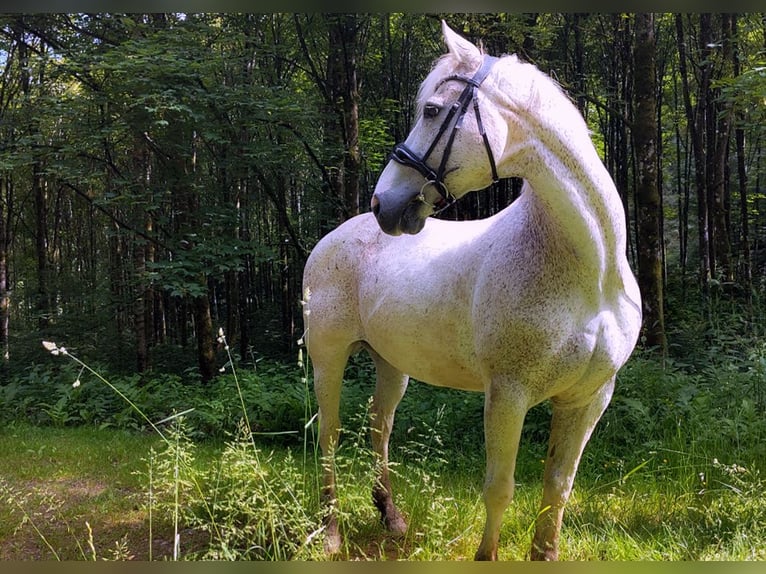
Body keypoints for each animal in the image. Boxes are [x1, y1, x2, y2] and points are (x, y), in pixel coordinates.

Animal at [302, 21, 641, 561]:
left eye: (432, 110)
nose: (383, 202)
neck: (593, 273)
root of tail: (332, 239)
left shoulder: (589, 397)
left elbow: (558, 488)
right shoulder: (508, 394)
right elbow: (499, 488)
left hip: (391, 363)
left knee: (380, 425)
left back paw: (391, 517)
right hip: (327, 356)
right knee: (330, 434)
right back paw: (331, 530)